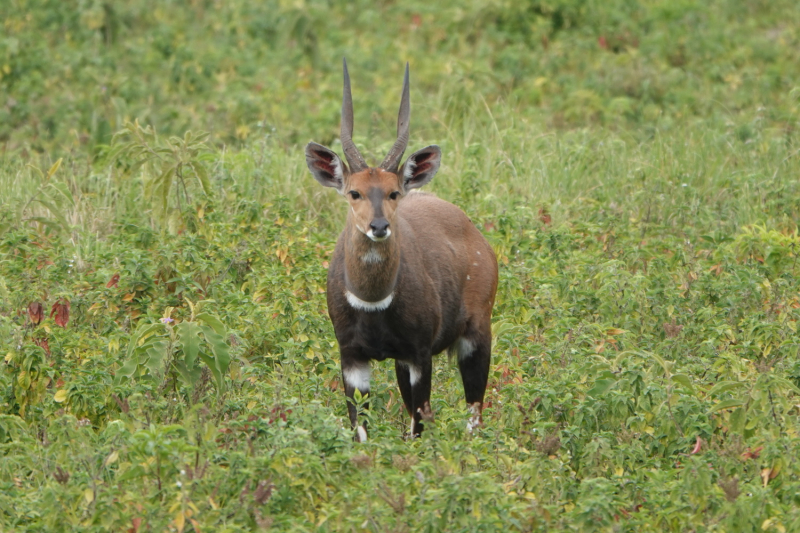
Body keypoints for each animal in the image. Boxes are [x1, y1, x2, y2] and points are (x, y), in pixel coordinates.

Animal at [304, 59, 496, 440]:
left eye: (393, 192)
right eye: (355, 192)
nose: (379, 227)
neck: (373, 301)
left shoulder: (419, 354)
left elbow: (418, 427)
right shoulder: (353, 357)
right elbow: (361, 429)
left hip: (477, 334)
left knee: (474, 413)